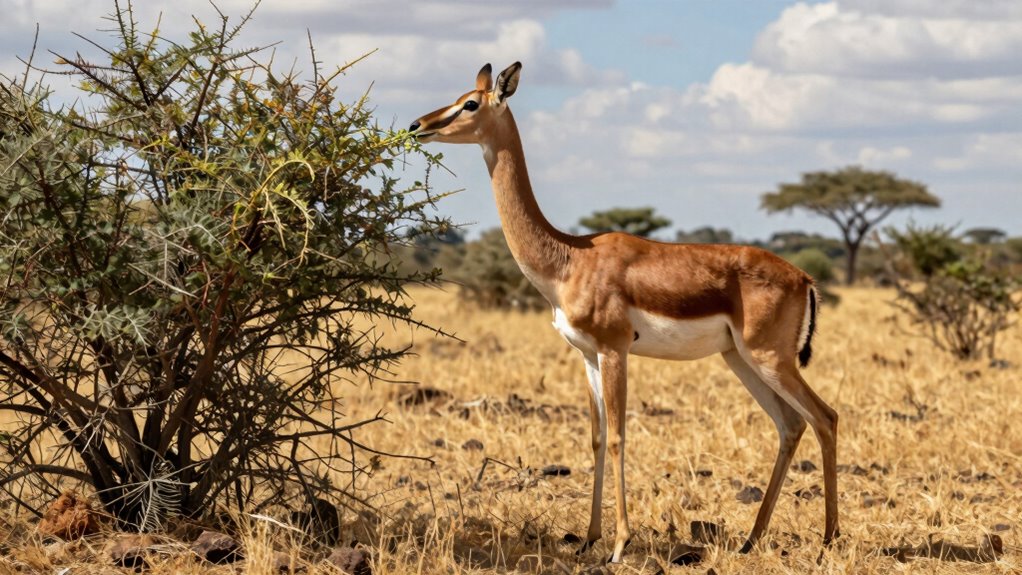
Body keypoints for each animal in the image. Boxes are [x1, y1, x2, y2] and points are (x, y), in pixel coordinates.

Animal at [409, 62, 839, 562]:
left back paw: (828, 540)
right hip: (740, 360)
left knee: (825, 417)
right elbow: (596, 438)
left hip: (770, 359)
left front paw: (619, 544)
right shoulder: (587, 355)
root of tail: (804, 279)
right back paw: (751, 540)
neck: (569, 259)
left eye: (471, 103)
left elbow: (617, 437)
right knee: (791, 425)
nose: (418, 125)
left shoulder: (615, 350)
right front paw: (588, 539)